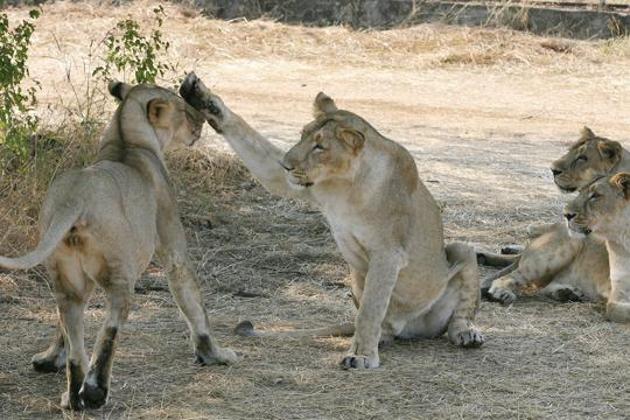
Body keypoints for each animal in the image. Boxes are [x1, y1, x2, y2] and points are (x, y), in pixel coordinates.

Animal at [0, 82, 237, 410]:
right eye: (182, 108)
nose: (200, 121)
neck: (127, 140)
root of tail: (74, 198)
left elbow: (63, 330)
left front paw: (49, 359)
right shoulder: (173, 246)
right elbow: (193, 303)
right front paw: (214, 354)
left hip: (67, 278)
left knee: (74, 333)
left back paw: (73, 397)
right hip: (120, 273)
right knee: (110, 326)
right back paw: (95, 392)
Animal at [180, 74, 486, 370]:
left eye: (320, 146)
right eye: (302, 135)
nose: (286, 165)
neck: (344, 186)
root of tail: (408, 328)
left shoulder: (388, 253)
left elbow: (370, 309)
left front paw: (361, 356)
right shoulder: (295, 184)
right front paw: (203, 98)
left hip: (462, 250)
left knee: (460, 311)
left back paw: (466, 333)